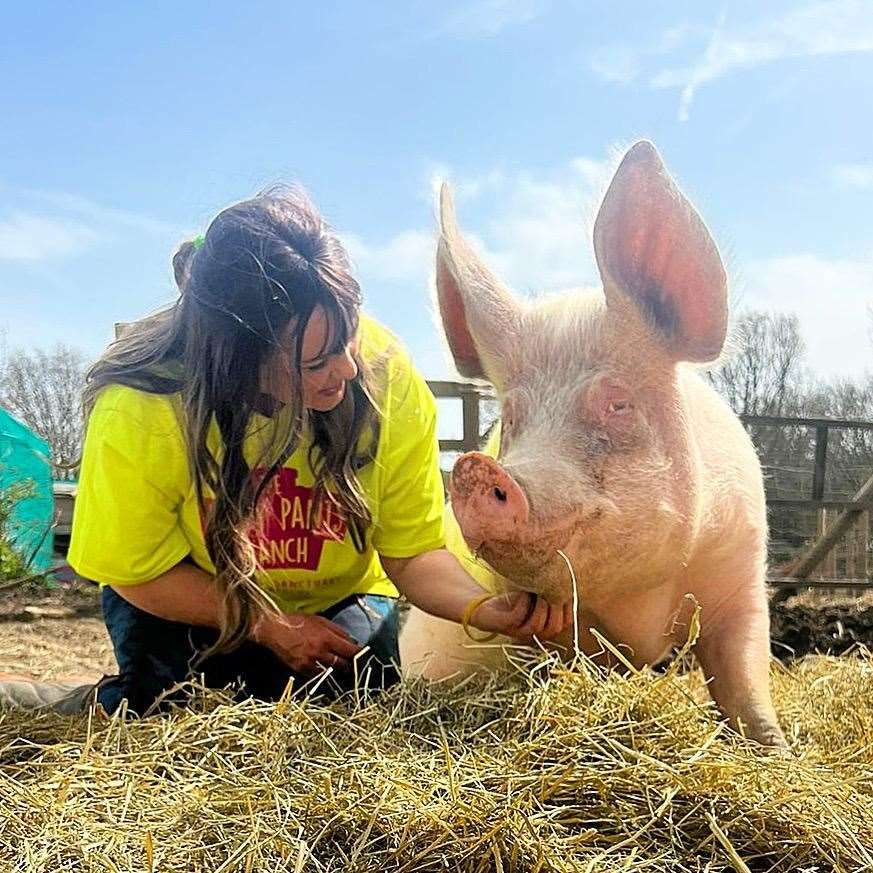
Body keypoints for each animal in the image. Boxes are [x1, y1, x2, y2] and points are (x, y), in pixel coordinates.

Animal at [398, 140, 788, 744]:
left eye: (618, 404)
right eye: (512, 416)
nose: (477, 471)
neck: (639, 605)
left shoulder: (742, 571)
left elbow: (744, 677)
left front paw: (780, 750)